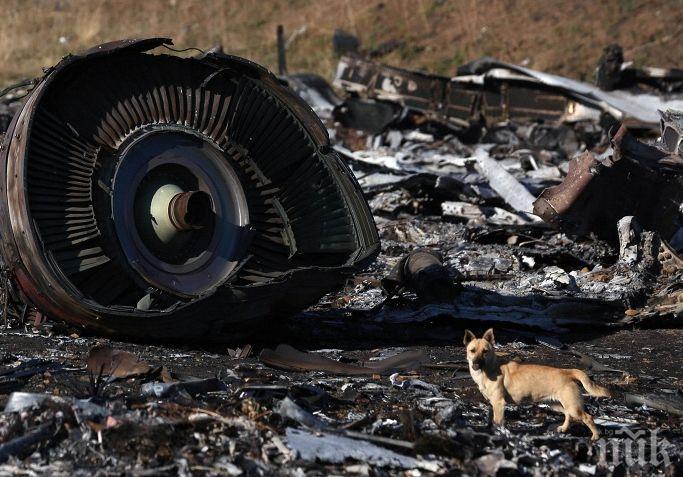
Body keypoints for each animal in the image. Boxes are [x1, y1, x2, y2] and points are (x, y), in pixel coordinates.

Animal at [462, 328, 612, 438]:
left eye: (485, 352)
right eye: (472, 351)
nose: (476, 364)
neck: (489, 369)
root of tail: (566, 371)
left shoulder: (499, 403)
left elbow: (497, 423)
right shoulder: (491, 404)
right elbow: (491, 421)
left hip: (572, 406)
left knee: (588, 417)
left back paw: (595, 437)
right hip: (557, 404)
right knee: (567, 414)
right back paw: (563, 429)